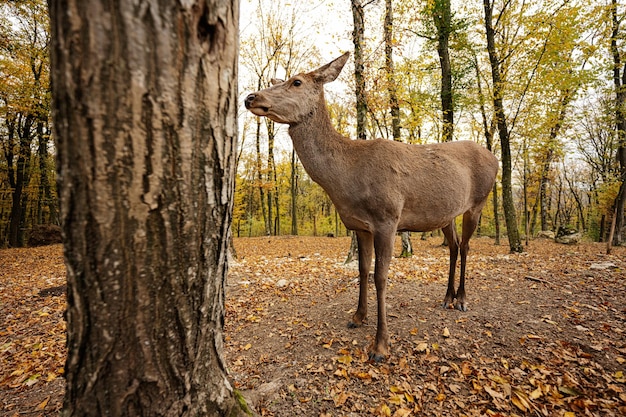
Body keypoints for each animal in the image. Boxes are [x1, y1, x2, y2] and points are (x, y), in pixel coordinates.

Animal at [244, 52, 498, 360]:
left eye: (296, 82)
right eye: (277, 81)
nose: (250, 97)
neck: (346, 180)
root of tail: (495, 158)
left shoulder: (387, 218)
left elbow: (381, 276)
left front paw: (380, 345)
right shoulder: (359, 225)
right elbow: (362, 270)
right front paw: (357, 317)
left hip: (478, 202)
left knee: (467, 246)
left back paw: (461, 299)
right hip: (447, 214)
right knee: (454, 245)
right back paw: (447, 297)